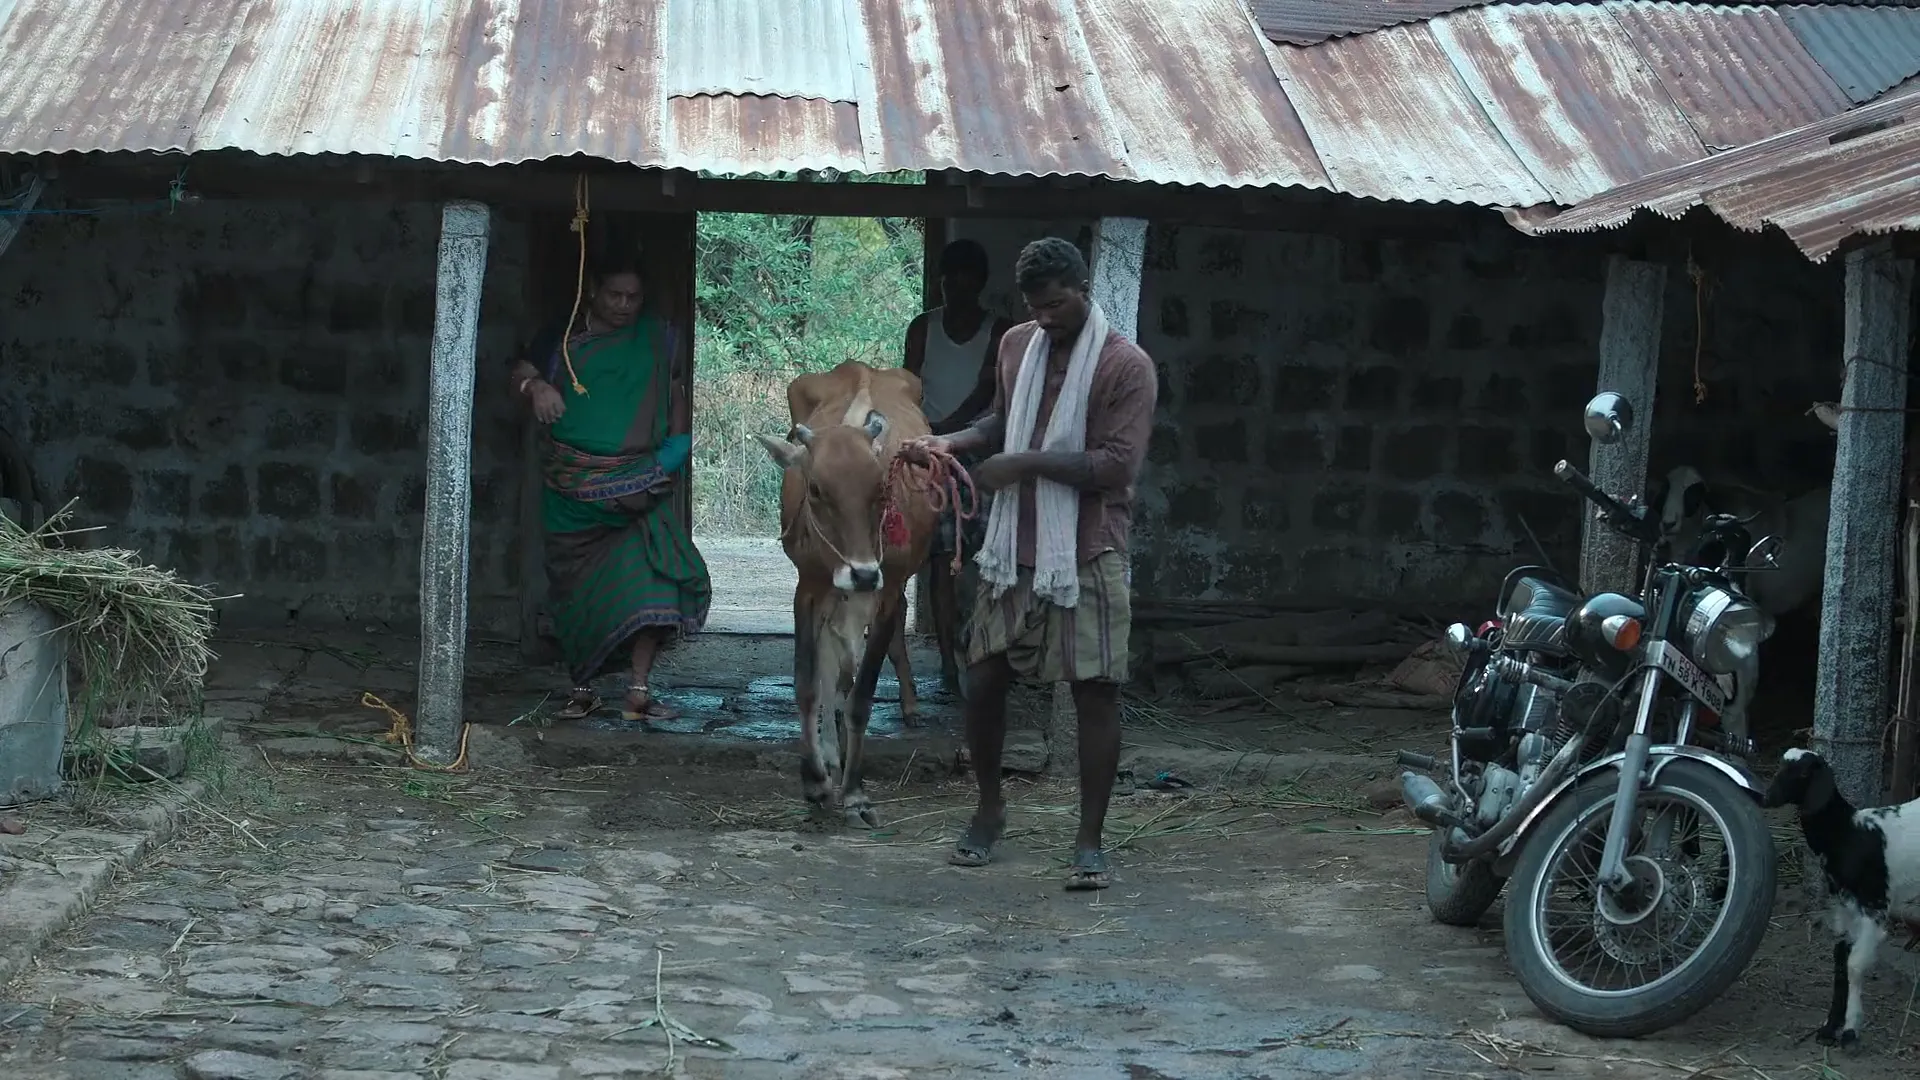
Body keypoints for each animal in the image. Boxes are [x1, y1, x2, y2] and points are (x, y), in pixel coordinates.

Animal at [755, 361, 938, 825]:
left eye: (880, 490)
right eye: (816, 489)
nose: (862, 574)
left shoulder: (887, 591)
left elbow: (862, 694)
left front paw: (854, 791)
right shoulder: (808, 587)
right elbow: (808, 683)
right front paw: (816, 780)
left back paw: (907, 709)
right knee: (830, 670)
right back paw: (831, 755)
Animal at [1763, 748, 1920, 1050]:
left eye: (1804, 772)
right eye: (1780, 766)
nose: (1767, 798)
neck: (1847, 833)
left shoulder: (1874, 905)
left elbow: (1855, 964)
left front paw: (1850, 1030)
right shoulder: (1845, 907)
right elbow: (1839, 961)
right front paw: (1829, 1027)